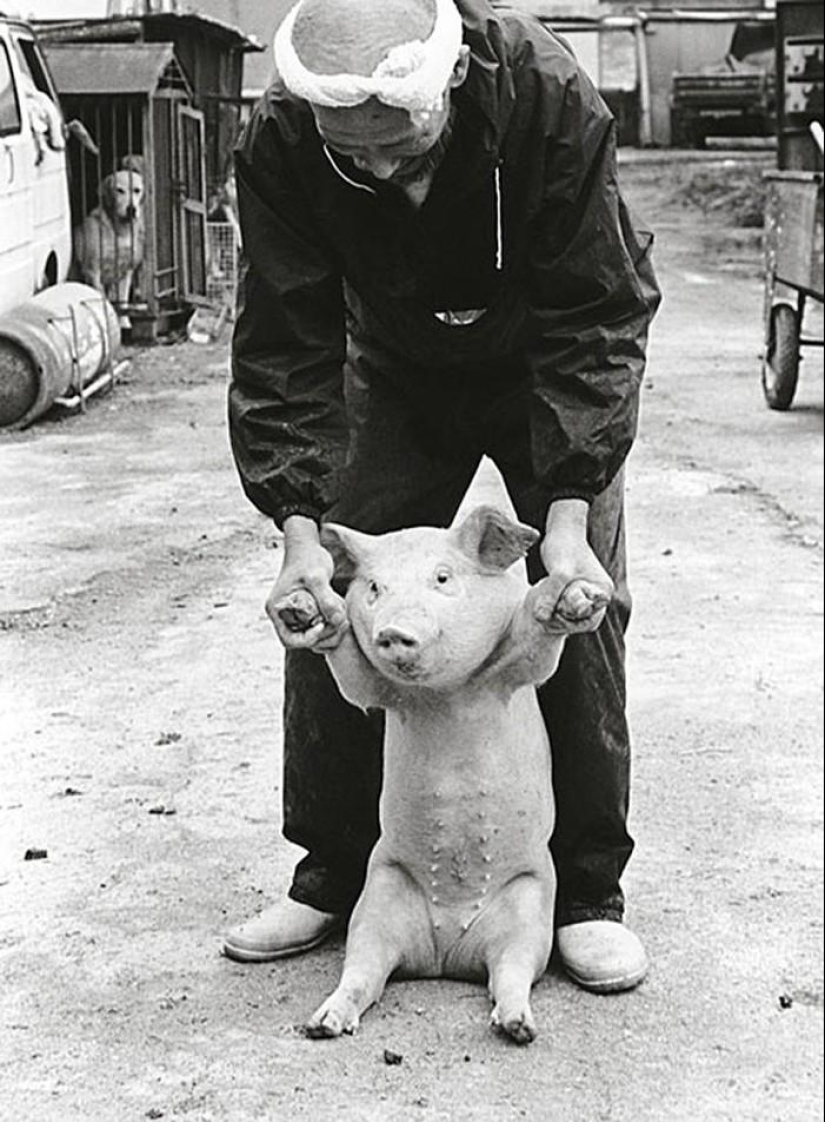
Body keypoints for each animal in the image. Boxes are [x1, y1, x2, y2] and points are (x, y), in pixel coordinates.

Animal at [277, 504, 609, 1045]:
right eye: (374, 587)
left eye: (443, 577)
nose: (393, 631)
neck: (446, 695)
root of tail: (446, 953)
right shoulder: (381, 693)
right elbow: (353, 676)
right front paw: (304, 612)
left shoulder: (511, 676)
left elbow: (538, 648)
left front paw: (575, 597)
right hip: (379, 896)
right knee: (363, 970)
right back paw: (322, 1023)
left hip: (530, 908)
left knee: (512, 972)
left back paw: (518, 1027)